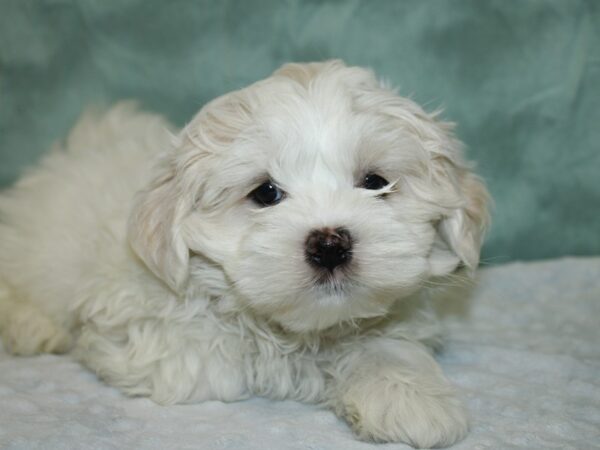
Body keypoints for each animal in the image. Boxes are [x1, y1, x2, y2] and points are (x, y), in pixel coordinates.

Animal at [0, 61, 488, 448]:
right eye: (266, 193)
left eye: (375, 183)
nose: (329, 244)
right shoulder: (157, 338)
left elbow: (386, 344)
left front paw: (408, 396)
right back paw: (30, 326)